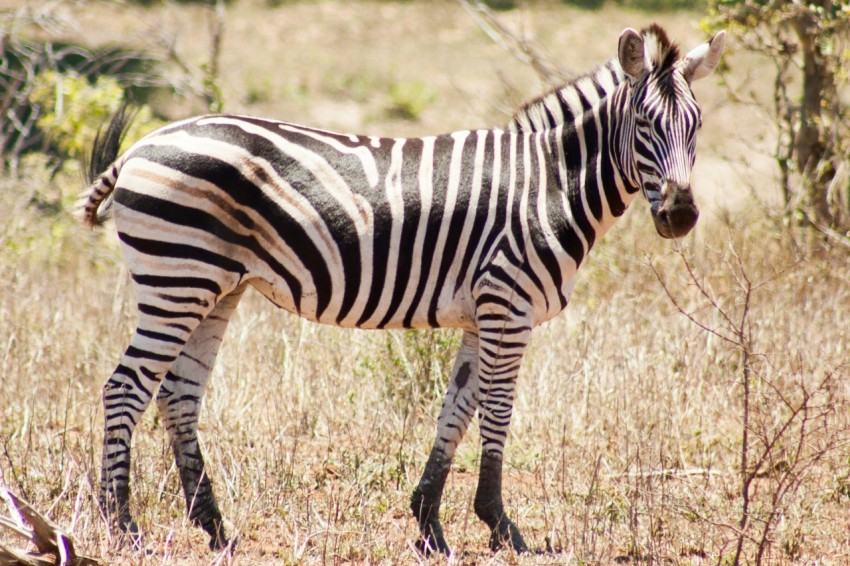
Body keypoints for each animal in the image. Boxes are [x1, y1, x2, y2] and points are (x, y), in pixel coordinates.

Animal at [79, 23, 725, 555]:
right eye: (645, 125)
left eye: (696, 127)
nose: (680, 215)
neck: (549, 185)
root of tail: (142, 145)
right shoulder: (507, 306)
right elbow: (497, 413)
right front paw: (500, 526)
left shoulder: (480, 316)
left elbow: (455, 412)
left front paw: (429, 524)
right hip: (177, 278)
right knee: (126, 389)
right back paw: (124, 528)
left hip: (213, 288)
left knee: (178, 395)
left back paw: (213, 528)